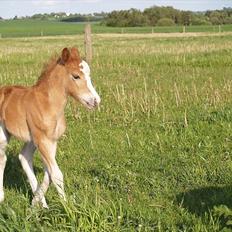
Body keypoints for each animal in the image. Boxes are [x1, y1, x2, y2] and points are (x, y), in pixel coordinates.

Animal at [0, 46, 99, 207]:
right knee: (3, 158)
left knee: (24, 157)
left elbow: (49, 173)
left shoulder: (51, 140)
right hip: (4, 134)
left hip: (31, 139)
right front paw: (67, 207)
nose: (96, 101)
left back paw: (41, 204)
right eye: (76, 76)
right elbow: (56, 174)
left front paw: (36, 202)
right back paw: (2, 197)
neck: (48, 103)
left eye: (89, 74)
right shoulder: (43, 140)